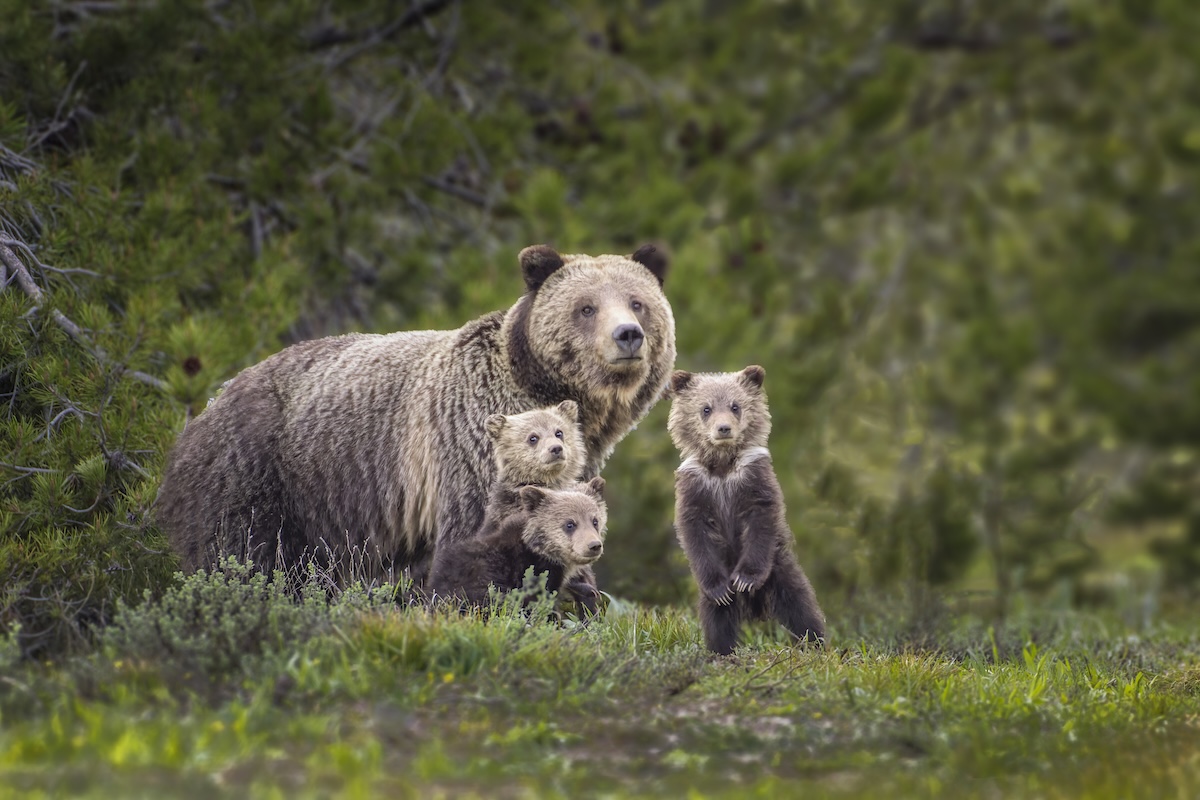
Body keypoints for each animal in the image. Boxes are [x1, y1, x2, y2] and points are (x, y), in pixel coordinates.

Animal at [667, 365, 826, 655]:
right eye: (706, 408)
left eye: (735, 406)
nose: (724, 428)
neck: (723, 467)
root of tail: (756, 608)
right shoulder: (696, 486)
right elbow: (694, 531)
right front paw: (721, 590)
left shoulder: (754, 478)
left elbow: (761, 520)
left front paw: (745, 578)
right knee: (716, 617)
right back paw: (721, 649)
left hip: (780, 570)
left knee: (801, 604)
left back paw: (816, 642)